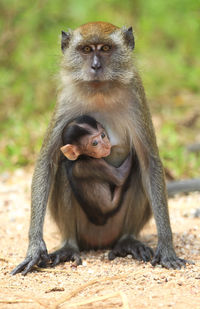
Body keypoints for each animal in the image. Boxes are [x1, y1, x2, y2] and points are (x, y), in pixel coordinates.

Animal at [10, 21, 187, 274]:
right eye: (86, 50)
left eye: (105, 48)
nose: (95, 66)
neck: (100, 90)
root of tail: (99, 242)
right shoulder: (66, 101)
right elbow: (47, 161)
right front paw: (34, 247)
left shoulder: (136, 97)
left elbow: (149, 161)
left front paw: (167, 247)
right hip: (86, 230)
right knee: (65, 169)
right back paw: (69, 246)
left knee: (136, 170)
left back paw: (127, 241)